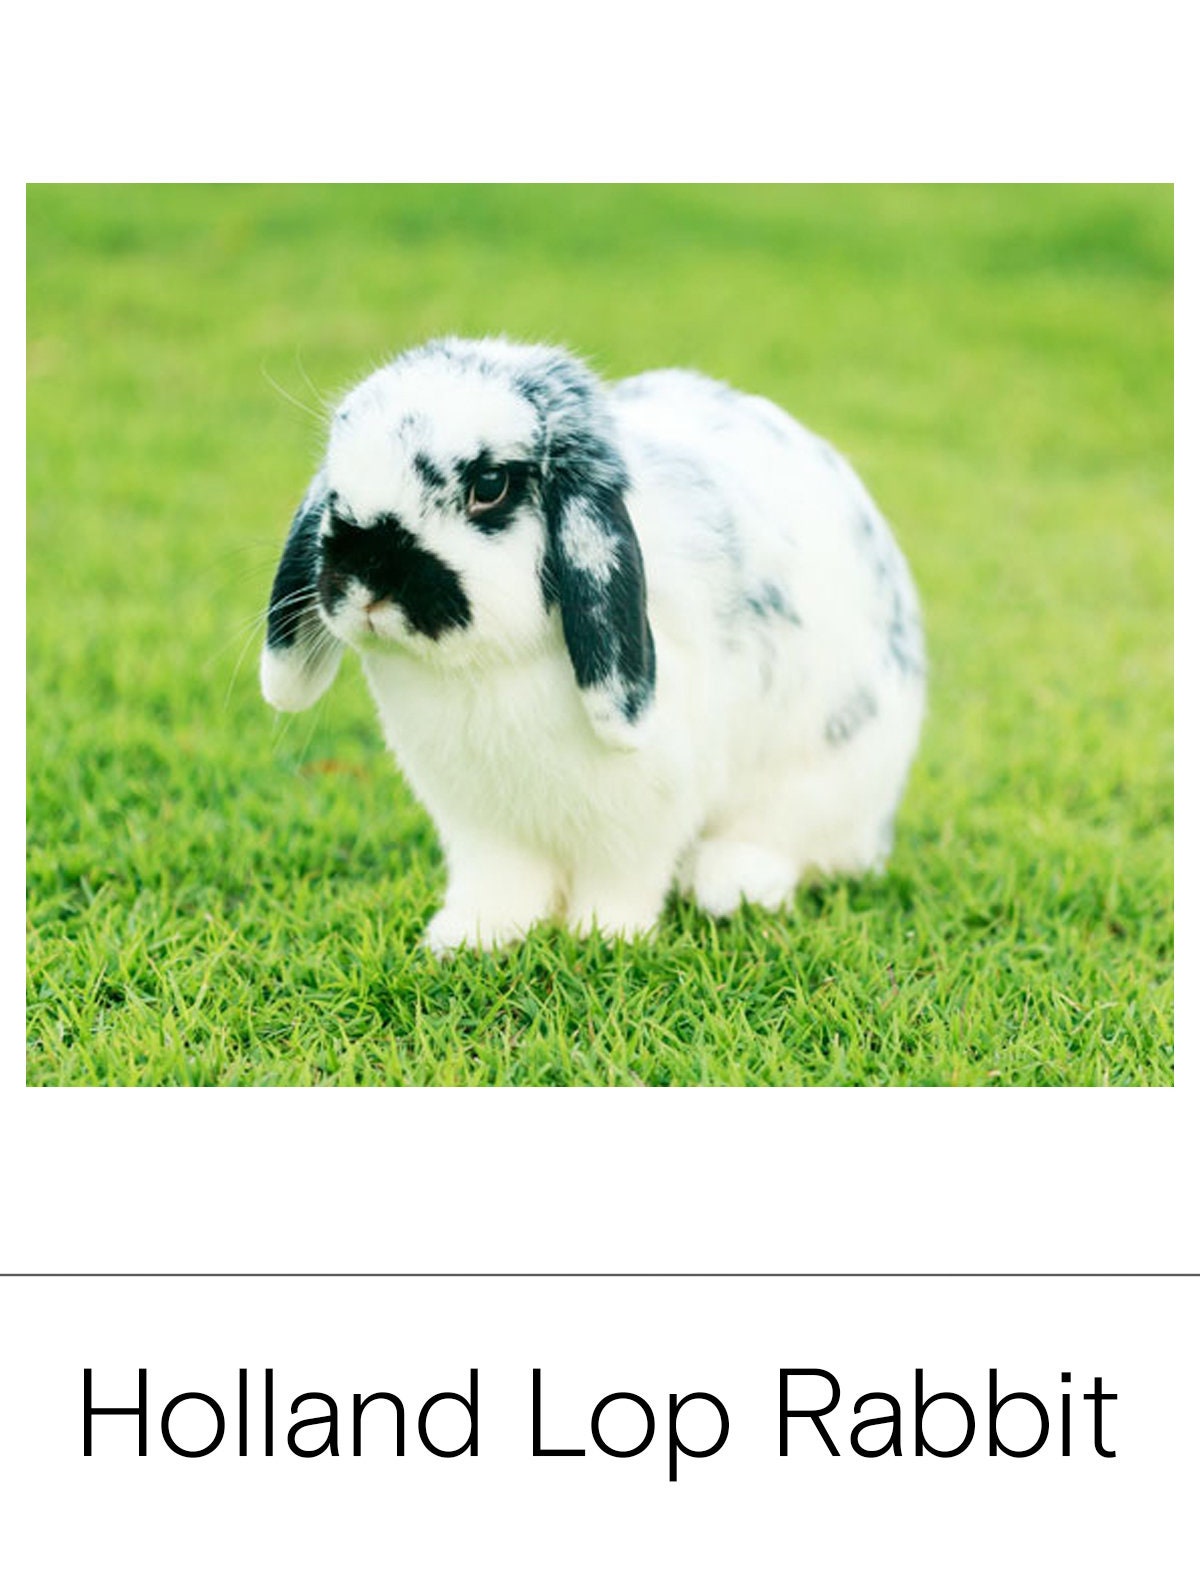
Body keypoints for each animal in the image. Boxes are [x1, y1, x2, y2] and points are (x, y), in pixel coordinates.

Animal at [260, 336, 925, 953]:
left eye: (489, 485)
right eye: (337, 482)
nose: (365, 578)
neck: (484, 670)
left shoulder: (642, 814)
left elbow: (622, 879)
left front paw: (605, 937)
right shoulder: (480, 823)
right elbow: (501, 883)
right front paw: (470, 937)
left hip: (819, 781)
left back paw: (729, 885)